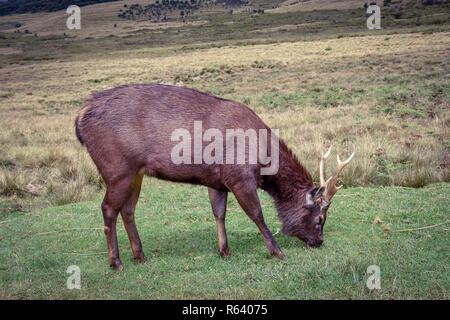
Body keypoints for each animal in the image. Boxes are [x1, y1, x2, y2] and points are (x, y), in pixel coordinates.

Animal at [75, 84, 354, 270]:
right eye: (320, 218)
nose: (318, 242)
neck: (263, 161)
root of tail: (80, 115)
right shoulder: (239, 176)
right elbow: (257, 214)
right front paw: (277, 251)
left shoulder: (217, 181)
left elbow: (219, 213)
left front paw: (224, 250)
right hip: (117, 168)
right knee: (108, 208)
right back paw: (116, 261)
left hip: (136, 172)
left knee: (128, 209)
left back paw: (140, 255)